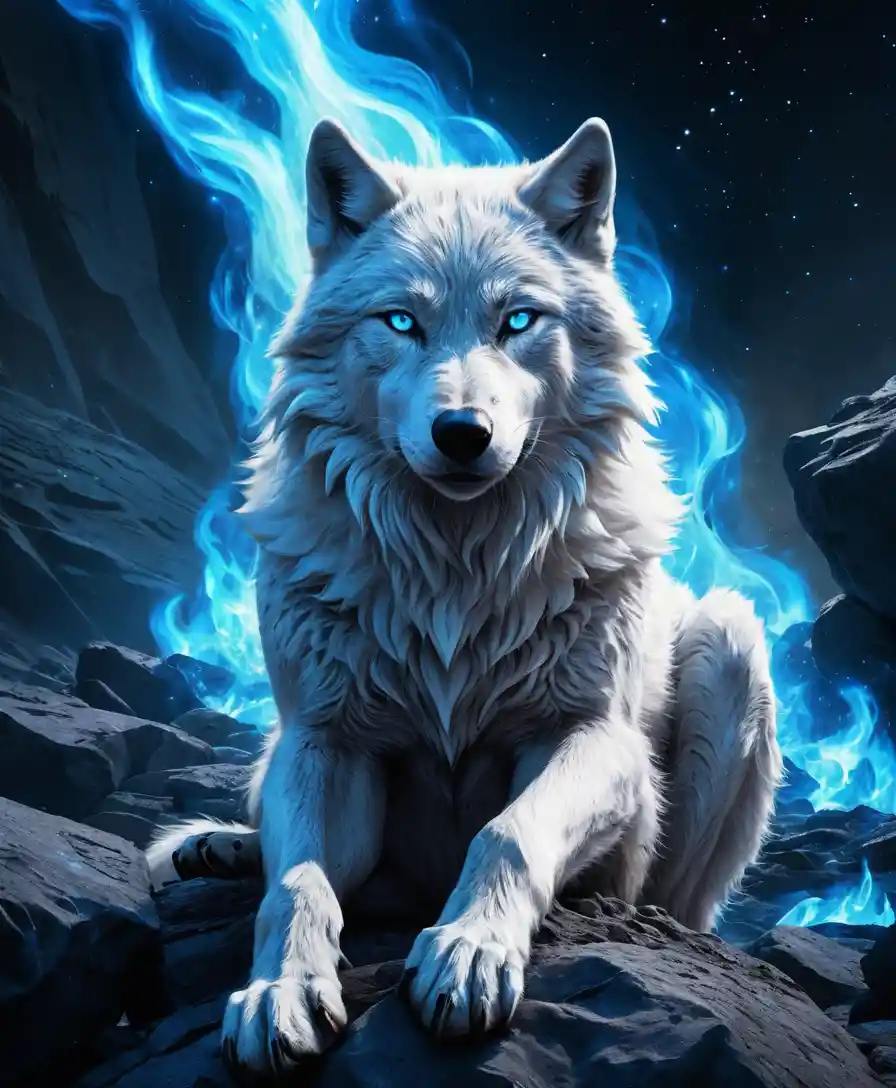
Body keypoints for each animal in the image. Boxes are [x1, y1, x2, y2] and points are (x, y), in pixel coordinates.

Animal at [148, 116, 782, 1080]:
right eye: (401, 321)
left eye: (517, 319)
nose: (462, 433)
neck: (454, 574)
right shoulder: (327, 741)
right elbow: (298, 884)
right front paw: (279, 991)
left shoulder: (592, 737)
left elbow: (508, 833)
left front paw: (469, 952)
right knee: (273, 831)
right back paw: (219, 845)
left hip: (731, 640)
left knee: (675, 900)